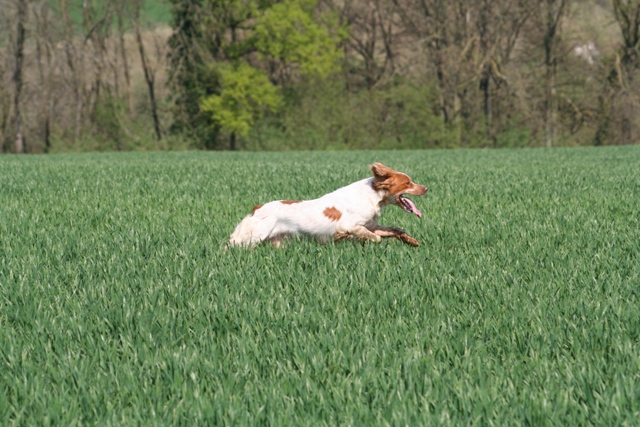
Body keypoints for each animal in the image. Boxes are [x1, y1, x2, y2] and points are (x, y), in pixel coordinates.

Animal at [228, 165, 428, 251]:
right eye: (408, 183)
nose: (426, 188)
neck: (373, 196)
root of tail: (256, 208)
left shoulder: (371, 225)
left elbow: (395, 230)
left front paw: (411, 241)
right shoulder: (350, 225)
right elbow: (375, 238)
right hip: (251, 237)